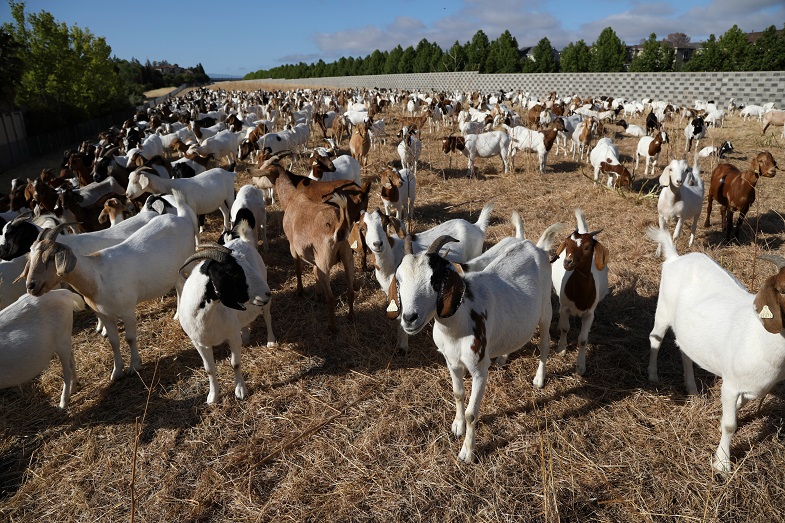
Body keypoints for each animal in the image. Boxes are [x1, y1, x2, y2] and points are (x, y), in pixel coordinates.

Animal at [548, 210, 608, 376]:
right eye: (567, 244)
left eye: (587, 247)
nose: (567, 262)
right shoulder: (564, 308)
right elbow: (565, 328)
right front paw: (561, 348)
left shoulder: (589, 314)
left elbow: (582, 339)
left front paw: (581, 366)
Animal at [648, 229, 785, 474]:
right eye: (784, 290)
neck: (760, 338)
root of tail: (675, 258)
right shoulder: (730, 385)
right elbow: (730, 425)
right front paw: (722, 464)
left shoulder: (755, 387)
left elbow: (739, 406)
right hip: (663, 309)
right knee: (655, 337)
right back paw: (653, 376)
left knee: (685, 353)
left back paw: (692, 390)